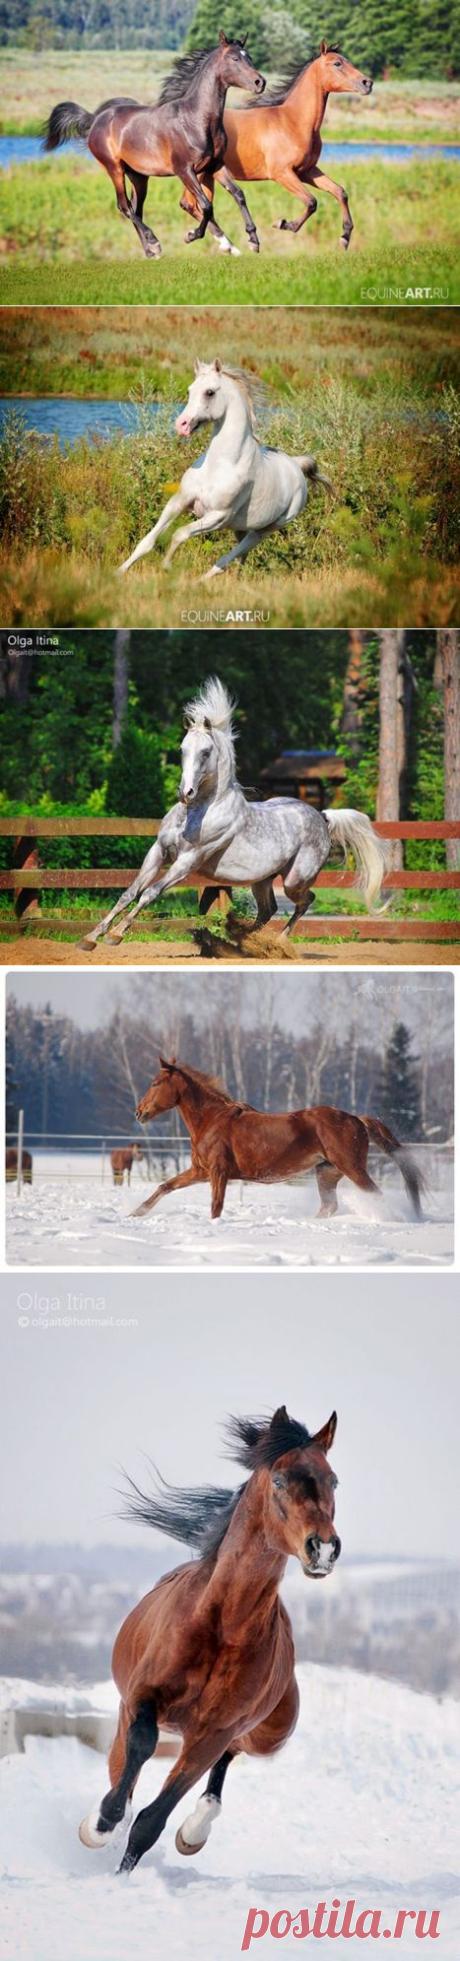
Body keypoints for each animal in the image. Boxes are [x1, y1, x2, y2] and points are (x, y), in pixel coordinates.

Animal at [43, 37, 265, 260]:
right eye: (235, 58)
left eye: (249, 57)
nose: (260, 82)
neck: (196, 119)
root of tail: (95, 119)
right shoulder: (184, 170)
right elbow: (206, 205)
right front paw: (191, 235)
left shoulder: (215, 166)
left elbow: (238, 194)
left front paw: (253, 241)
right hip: (114, 169)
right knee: (125, 207)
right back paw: (154, 242)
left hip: (139, 176)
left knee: (135, 209)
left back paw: (150, 252)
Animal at [79, 1405, 341, 1872]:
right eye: (279, 1480)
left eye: (333, 1481)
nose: (323, 1549)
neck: (224, 1626)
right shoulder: (141, 1699)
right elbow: (139, 1750)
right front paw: (99, 1825)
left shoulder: (214, 1732)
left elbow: (151, 1820)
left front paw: (124, 1871)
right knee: (124, 1764)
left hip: (268, 1735)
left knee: (228, 1760)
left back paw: (194, 1831)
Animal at [80, 678, 387, 954]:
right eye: (182, 749)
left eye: (206, 752)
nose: (185, 793)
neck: (197, 814)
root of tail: (321, 816)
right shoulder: (159, 852)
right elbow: (130, 892)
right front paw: (91, 937)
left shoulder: (187, 861)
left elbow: (150, 893)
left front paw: (116, 935)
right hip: (263, 879)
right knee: (268, 910)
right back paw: (244, 941)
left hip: (294, 879)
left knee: (305, 900)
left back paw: (274, 942)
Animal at [118, 365, 332, 580]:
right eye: (189, 390)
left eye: (209, 392)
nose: (181, 424)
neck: (220, 465)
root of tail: (295, 465)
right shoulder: (179, 501)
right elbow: (148, 541)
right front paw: (119, 572)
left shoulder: (218, 516)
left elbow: (180, 534)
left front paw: (167, 567)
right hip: (241, 528)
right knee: (240, 557)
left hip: (266, 529)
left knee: (228, 558)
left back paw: (200, 581)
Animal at [131, 1060, 424, 1223]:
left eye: (156, 1083)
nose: (139, 1112)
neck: (211, 1120)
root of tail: (356, 1119)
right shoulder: (199, 1171)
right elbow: (165, 1186)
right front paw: (134, 1214)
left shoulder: (218, 1172)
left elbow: (216, 1207)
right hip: (327, 1172)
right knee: (329, 1205)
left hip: (353, 1168)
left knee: (374, 1195)